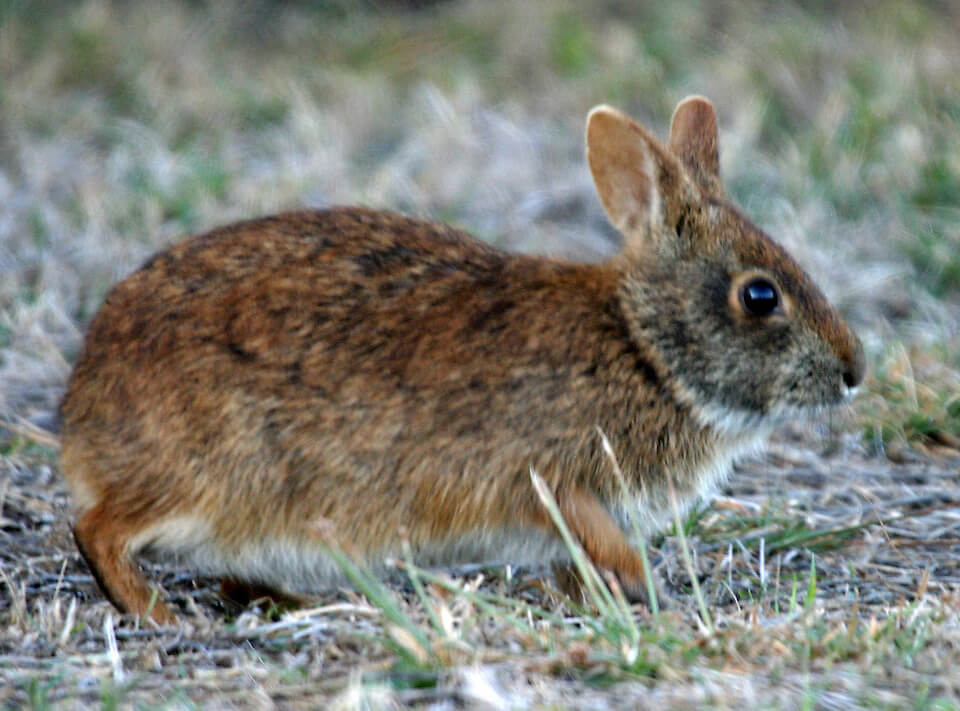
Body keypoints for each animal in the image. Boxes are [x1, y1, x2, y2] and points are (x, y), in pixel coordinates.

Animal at [58, 96, 864, 624]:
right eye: (760, 296)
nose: (854, 371)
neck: (643, 347)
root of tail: (81, 417)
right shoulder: (554, 473)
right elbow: (595, 535)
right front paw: (649, 588)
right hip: (212, 476)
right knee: (98, 528)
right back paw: (155, 612)